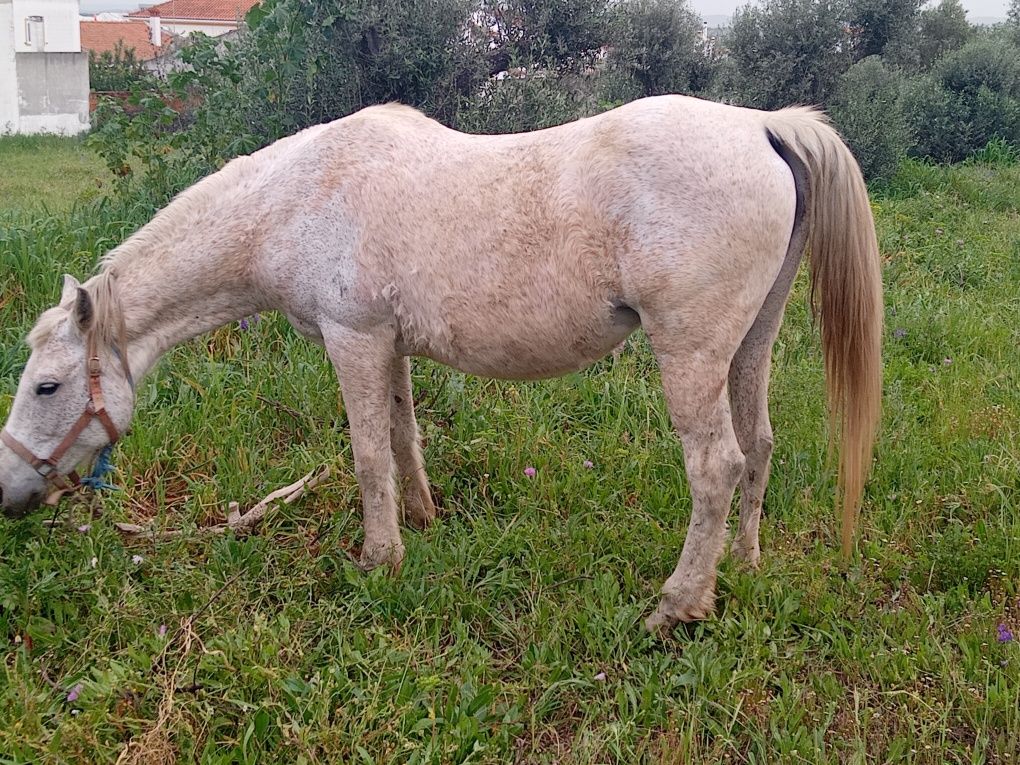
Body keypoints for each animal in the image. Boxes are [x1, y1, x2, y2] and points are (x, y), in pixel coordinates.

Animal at [0, 95, 881, 632]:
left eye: (47, 384)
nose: (10, 495)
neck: (299, 197)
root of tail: (763, 126)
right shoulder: (385, 343)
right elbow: (402, 436)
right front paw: (422, 521)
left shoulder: (352, 338)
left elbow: (366, 455)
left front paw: (378, 559)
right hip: (751, 342)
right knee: (759, 446)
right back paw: (744, 563)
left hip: (691, 352)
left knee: (716, 466)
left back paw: (678, 604)